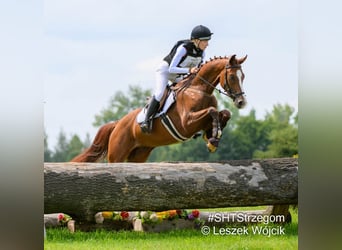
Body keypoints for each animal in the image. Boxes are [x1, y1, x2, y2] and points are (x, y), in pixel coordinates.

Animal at [72, 55, 247, 163]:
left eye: (243, 76)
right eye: (232, 77)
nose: (241, 102)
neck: (199, 89)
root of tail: (117, 124)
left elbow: (224, 113)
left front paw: (212, 138)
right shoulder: (186, 123)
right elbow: (212, 111)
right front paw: (214, 136)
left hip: (139, 154)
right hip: (117, 154)